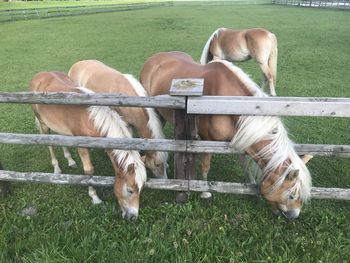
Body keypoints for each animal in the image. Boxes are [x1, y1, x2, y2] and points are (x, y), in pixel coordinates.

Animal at [28, 71, 146, 222]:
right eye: (130, 190)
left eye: (141, 189)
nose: (133, 217)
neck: (91, 118)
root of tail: (39, 75)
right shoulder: (82, 147)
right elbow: (89, 171)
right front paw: (95, 198)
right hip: (43, 125)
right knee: (50, 145)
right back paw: (56, 168)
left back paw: (70, 161)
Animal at [141, 51, 314, 219]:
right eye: (292, 195)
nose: (293, 216)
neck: (228, 104)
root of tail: (154, 58)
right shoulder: (208, 141)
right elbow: (205, 166)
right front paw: (205, 192)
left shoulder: (241, 139)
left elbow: (245, 166)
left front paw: (252, 188)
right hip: (156, 113)